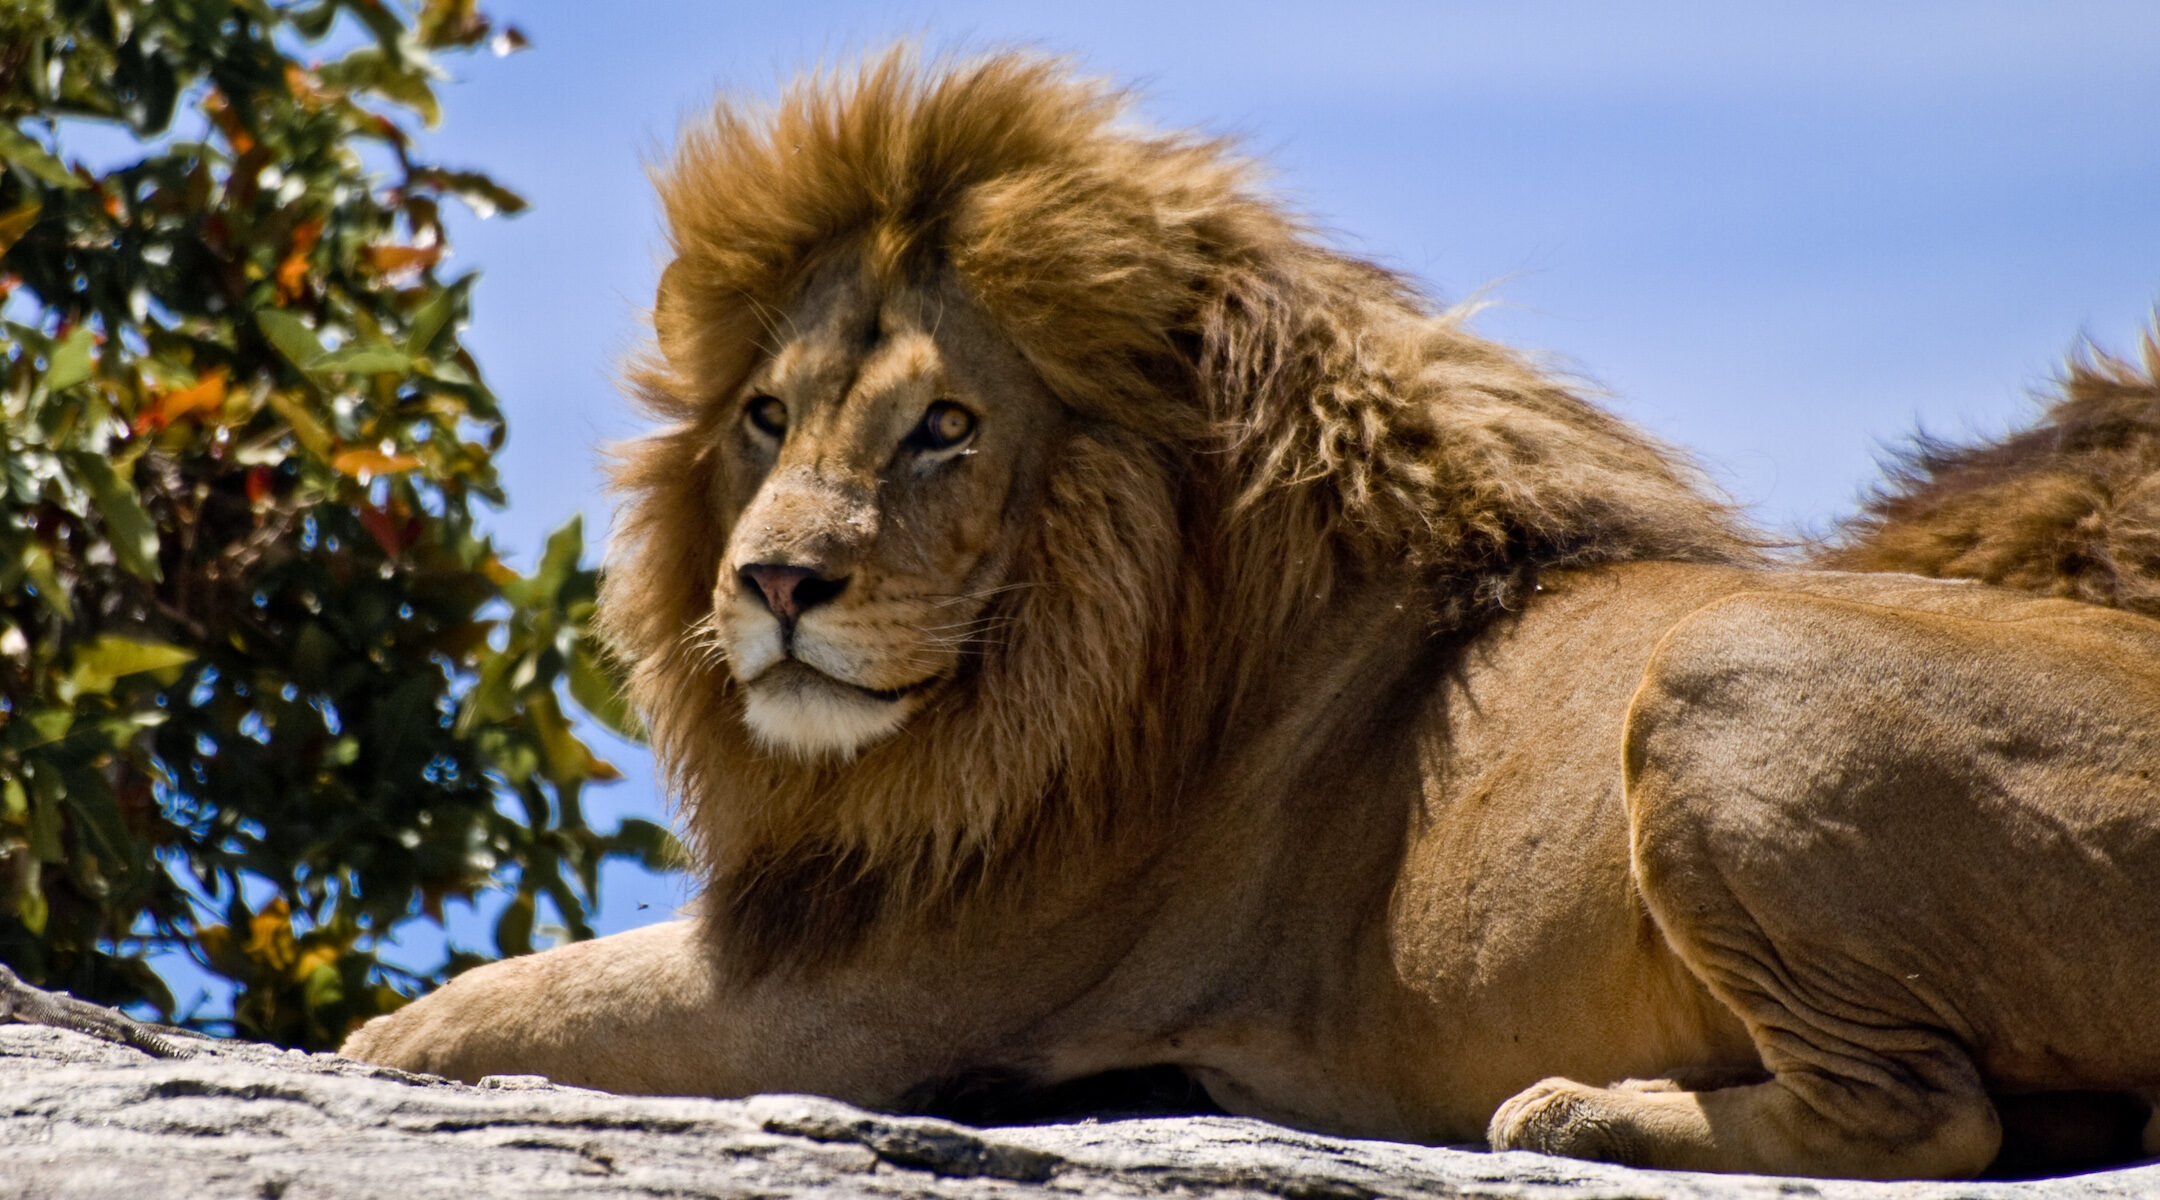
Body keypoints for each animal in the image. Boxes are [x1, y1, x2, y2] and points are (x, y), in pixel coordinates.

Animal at [336, 49, 2160, 1182]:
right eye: (769, 420)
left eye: (946, 427)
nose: (776, 584)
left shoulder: (862, 1001)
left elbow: (474, 1012)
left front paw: (370, 1041)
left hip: (1717, 665)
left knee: (1929, 1121)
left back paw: (1581, 1116)